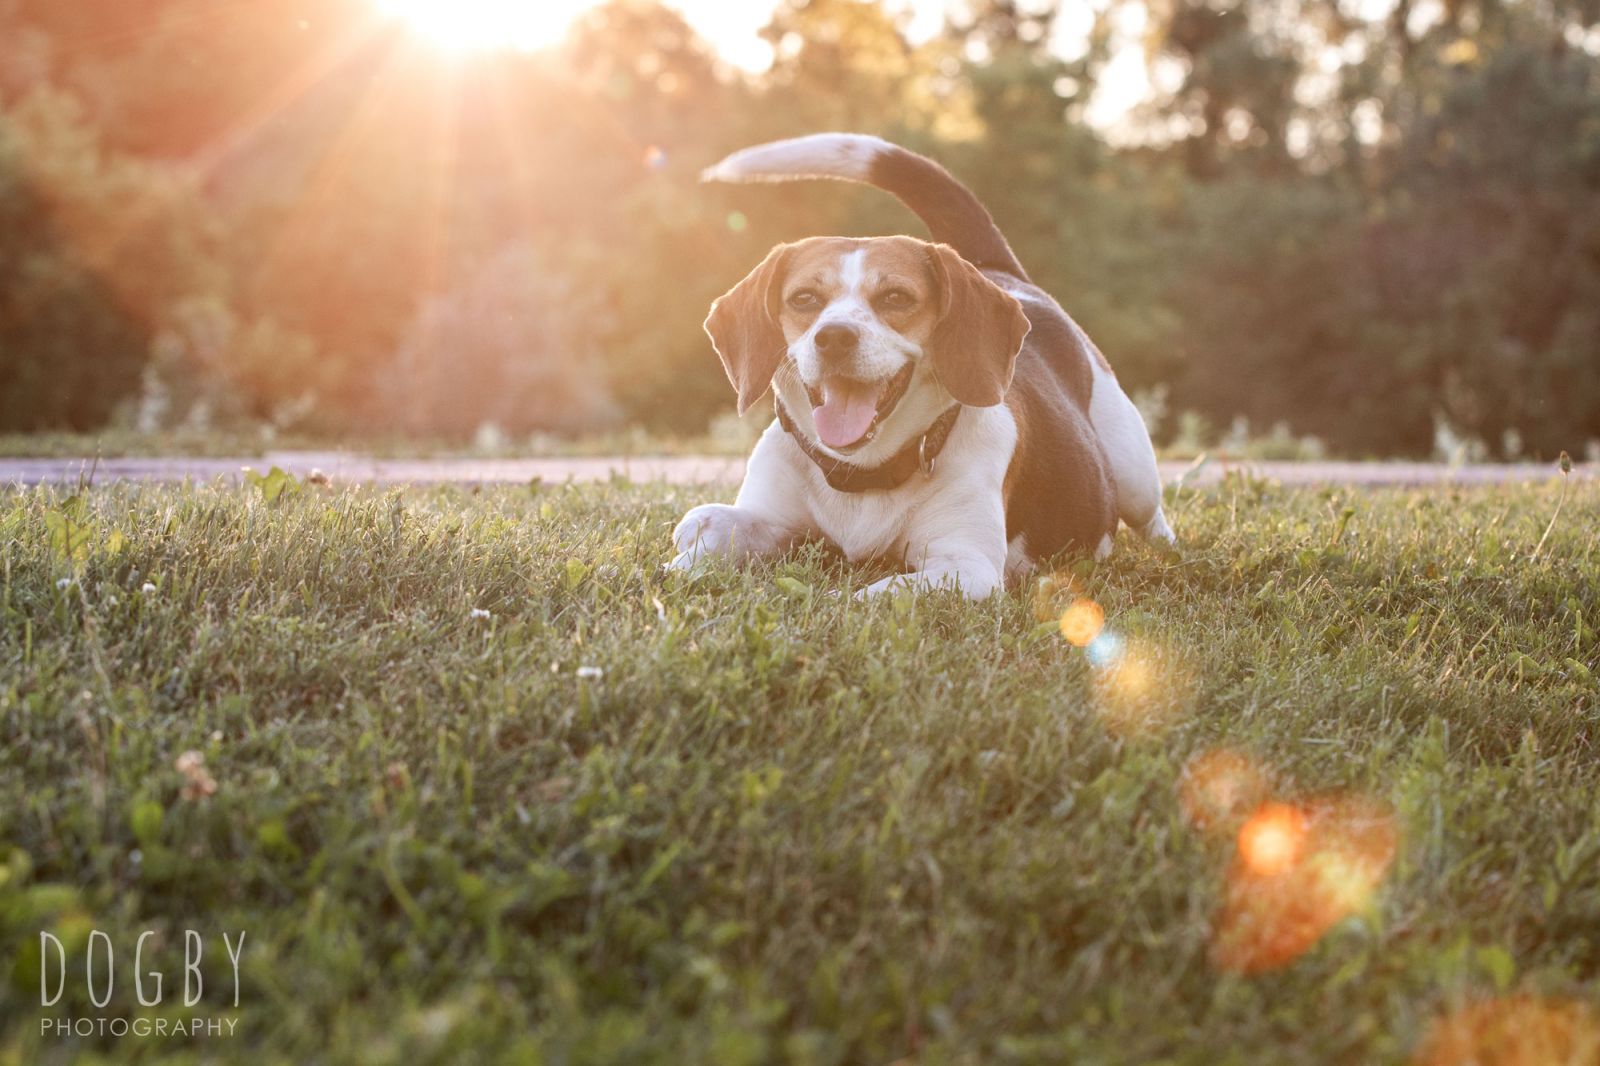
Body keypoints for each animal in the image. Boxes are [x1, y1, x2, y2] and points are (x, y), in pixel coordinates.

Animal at [665, 130, 1177, 598]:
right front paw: (683, 558)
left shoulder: (966, 568)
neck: (862, 475)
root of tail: (1001, 273)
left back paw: (1165, 547)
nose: (834, 337)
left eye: (896, 297)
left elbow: (878, 591)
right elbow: (714, 536)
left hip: (1132, 467)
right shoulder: (773, 519)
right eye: (805, 299)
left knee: (1150, 513)